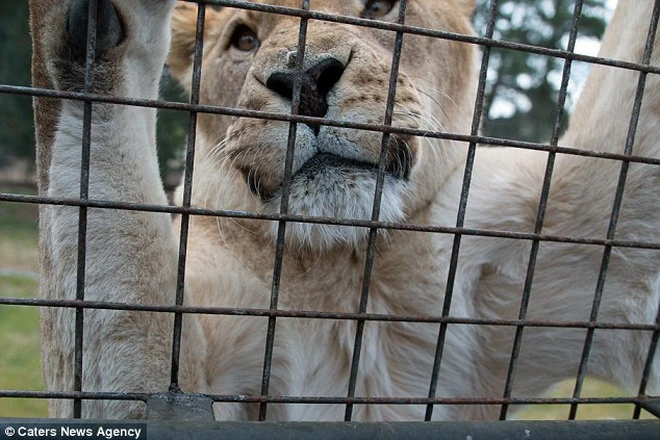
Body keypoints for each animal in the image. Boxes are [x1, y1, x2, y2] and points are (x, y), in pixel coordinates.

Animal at [28, 0, 656, 422]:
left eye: (377, 6)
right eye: (244, 38)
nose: (304, 79)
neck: (345, 268)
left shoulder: (600, 238)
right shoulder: (169, 385)